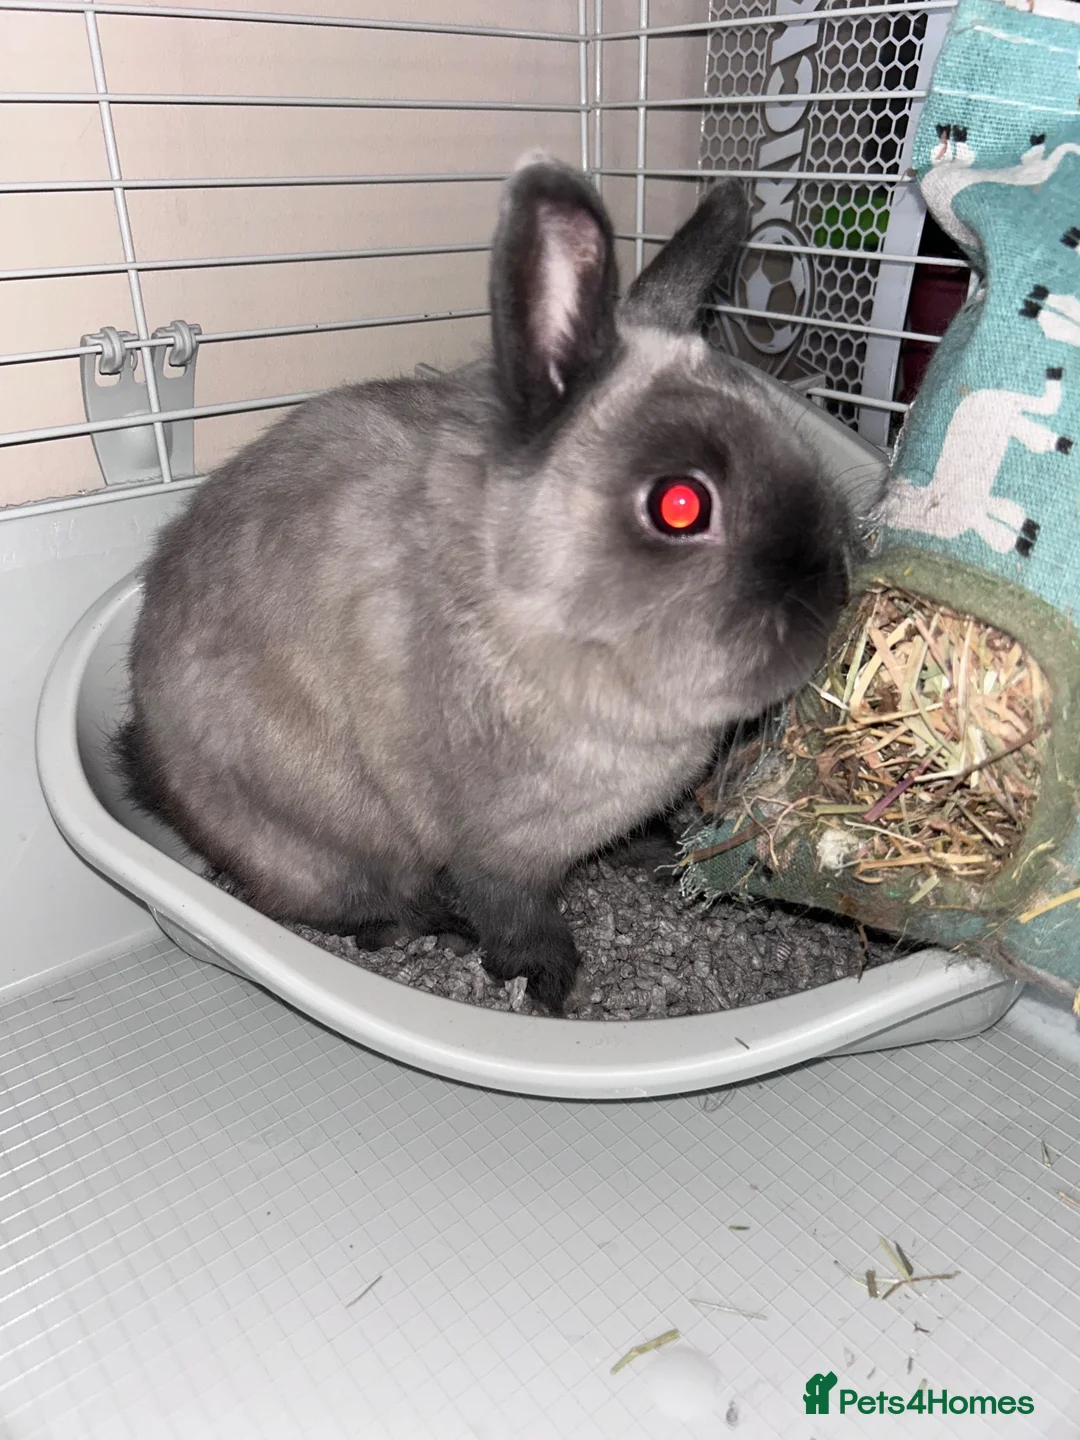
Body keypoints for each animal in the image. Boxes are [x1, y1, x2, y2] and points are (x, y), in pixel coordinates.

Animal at [116, 154, 877, 1015]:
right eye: (680, 505)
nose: (835, 587)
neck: (535, 621)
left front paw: (660, 854)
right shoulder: (493, 849)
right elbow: (512, 912)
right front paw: (548, 981)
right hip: (325, 848)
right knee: (355, 906)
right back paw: (429, 929)